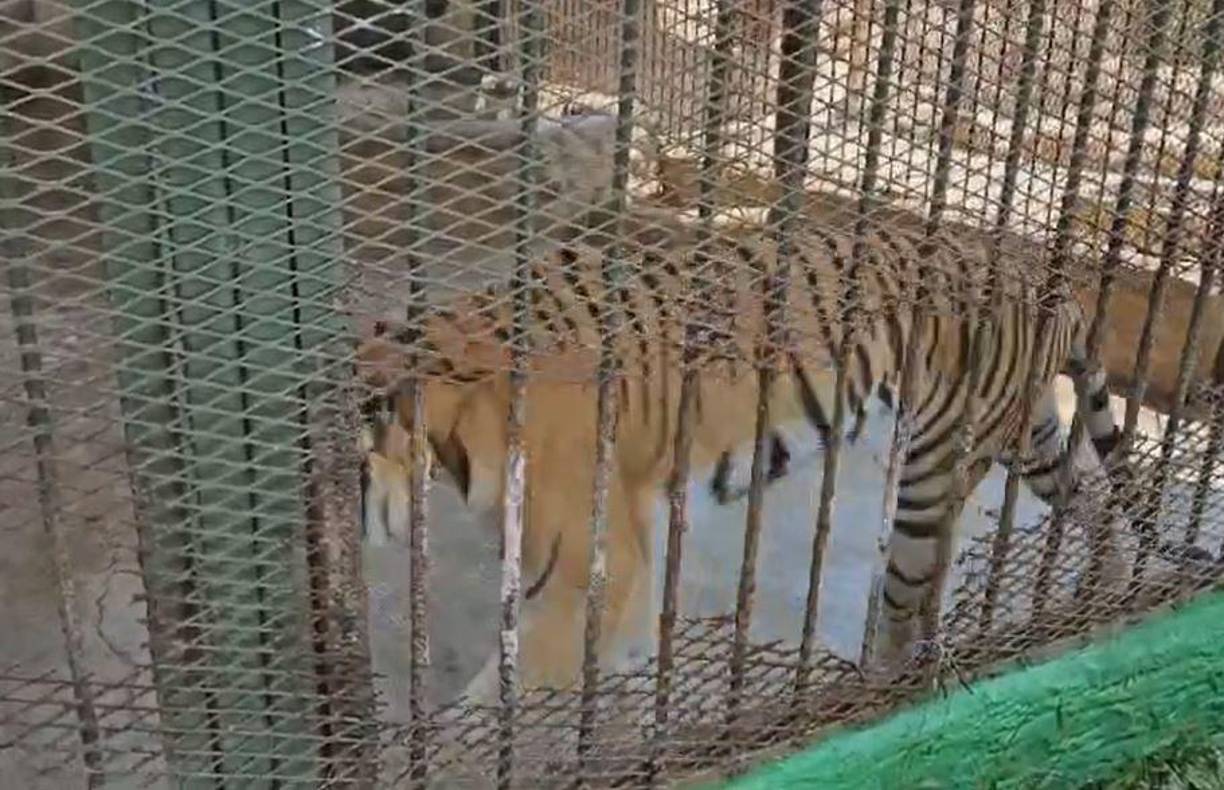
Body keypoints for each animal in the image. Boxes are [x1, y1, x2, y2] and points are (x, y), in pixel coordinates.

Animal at [355, 205, 1128, 704]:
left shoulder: (587, 577)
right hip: (1030, 435)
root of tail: (1044, 271)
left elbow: (490, 711)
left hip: (933, 475)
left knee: (907, 600)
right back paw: (1100, 598)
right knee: (1092, 500)